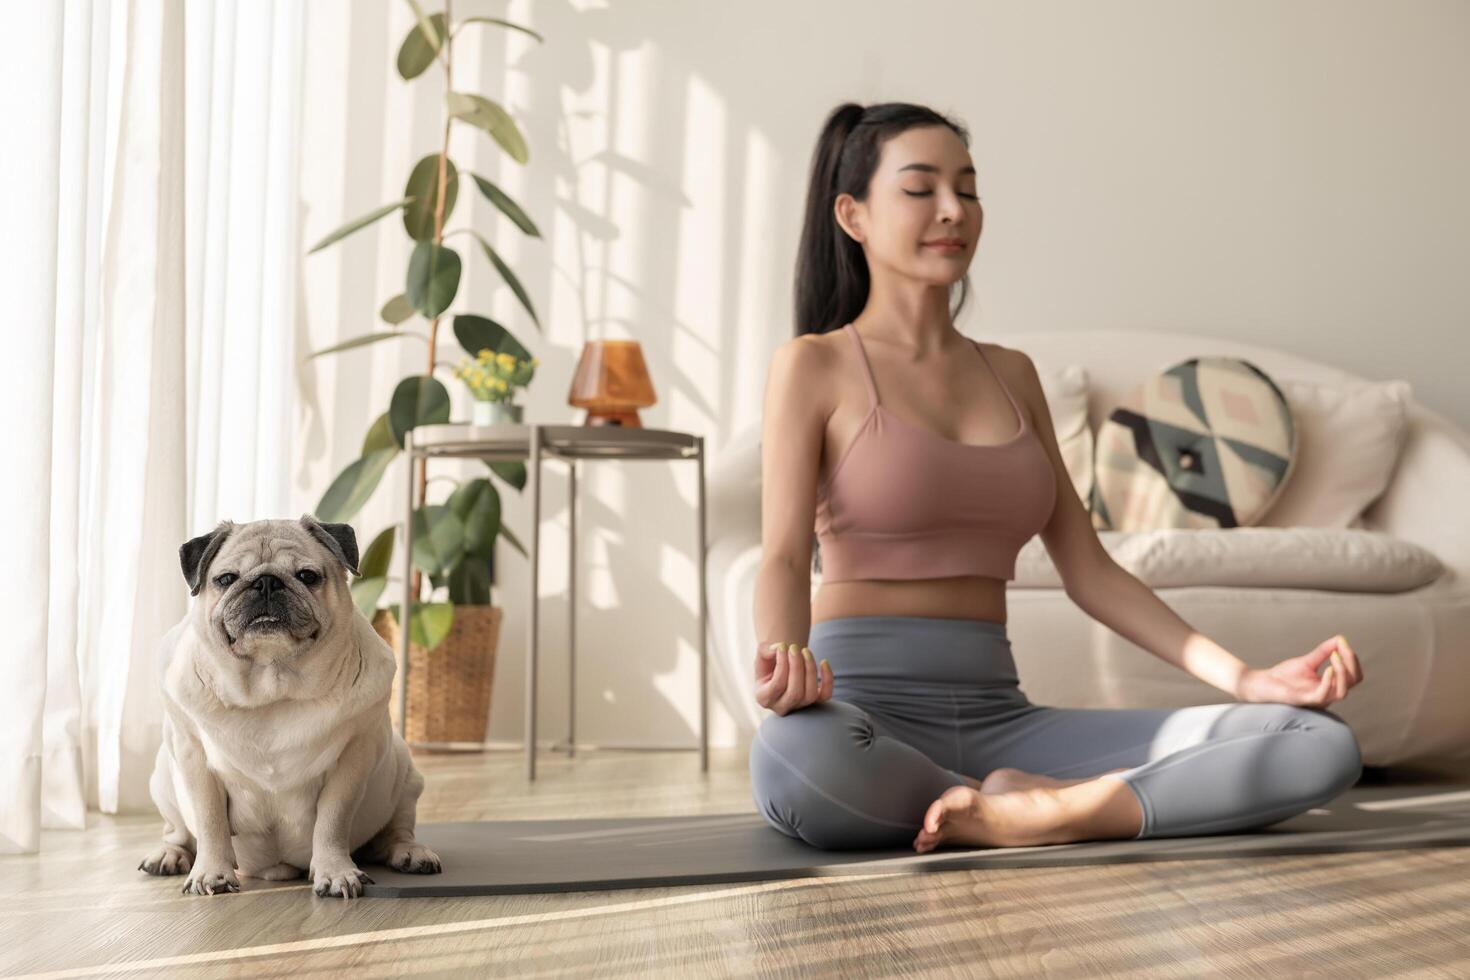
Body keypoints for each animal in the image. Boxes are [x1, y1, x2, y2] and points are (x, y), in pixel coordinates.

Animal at [140, 517, 443, 899]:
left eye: (307, 576)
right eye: (226, 579)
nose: (266, 582)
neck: (272, 684)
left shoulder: (353, 758)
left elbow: (333, 819)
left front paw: (335, 871)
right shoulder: (193, 755)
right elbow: (210, 821)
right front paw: (212, 872)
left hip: (403, 771)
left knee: (396, 830)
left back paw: (410, 853)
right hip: (164, 777)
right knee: (178, 831)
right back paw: (169, 855)